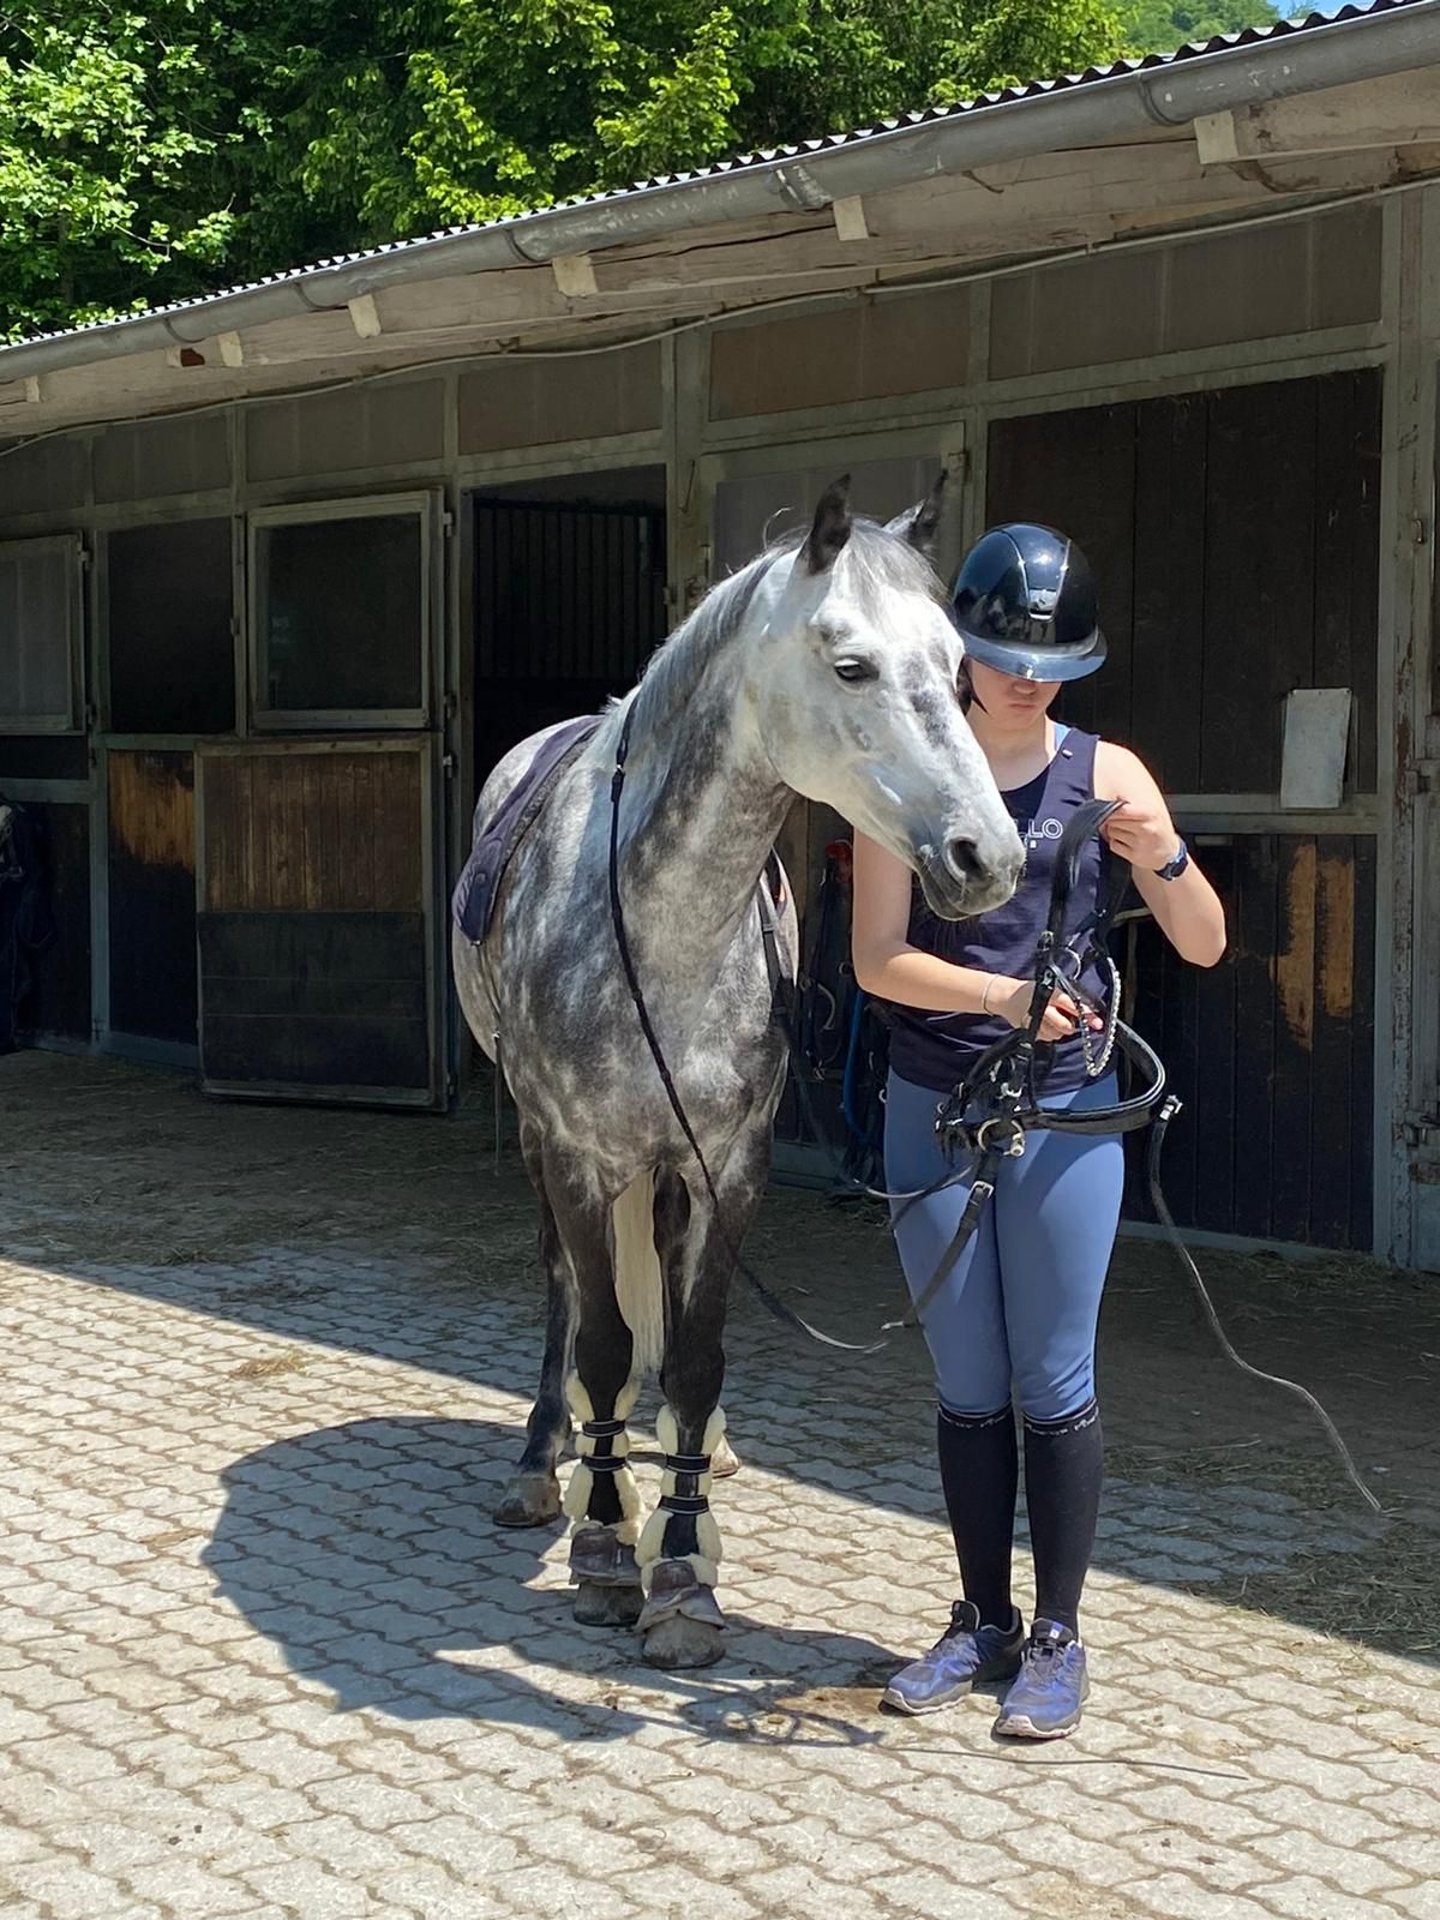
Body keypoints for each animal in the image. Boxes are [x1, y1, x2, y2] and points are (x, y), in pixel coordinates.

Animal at [453, 476, 1024, 1669]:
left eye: (958, 667)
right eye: (848, 664)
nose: (985, 858)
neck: (660, 923)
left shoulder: (733, 1163)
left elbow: (696, 1351)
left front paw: (680, 1571)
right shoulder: (575, 1157)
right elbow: (607, 1346)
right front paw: (604, 1552)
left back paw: (693, 1448)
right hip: (540, 1144)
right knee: (563, 1290)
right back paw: (541, 1465)